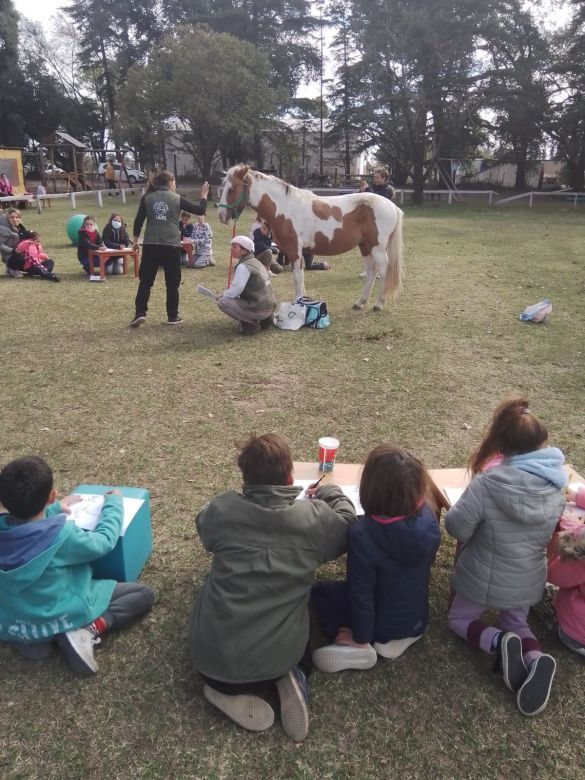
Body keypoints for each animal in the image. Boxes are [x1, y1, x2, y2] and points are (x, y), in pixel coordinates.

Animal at [217, 165, 404, 310]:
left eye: (232, 188)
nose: (221, 216)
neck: (285, 208)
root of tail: (392, 206)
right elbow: (299, 277)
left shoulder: (295, 250)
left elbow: (297, 277)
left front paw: (299, 303)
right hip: (365, 247)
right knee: (371, 272)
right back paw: (360, 302)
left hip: (377, 248)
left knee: (383, 271)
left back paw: (378, 304)